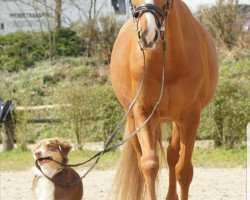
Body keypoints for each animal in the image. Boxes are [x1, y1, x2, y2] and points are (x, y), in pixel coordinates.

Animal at [109, 0, 217, 199]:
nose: (148, 34)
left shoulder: (190, 117)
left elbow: (184, 171)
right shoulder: (143, 113)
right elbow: (149, 165)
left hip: (176, 120)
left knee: (172, 156)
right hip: (133, 120)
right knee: (142, 161)